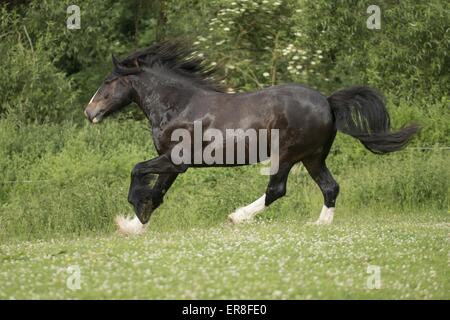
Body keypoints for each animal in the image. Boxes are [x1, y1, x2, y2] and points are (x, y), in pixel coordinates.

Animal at [83, 41, 418, 235]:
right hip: (312, 157)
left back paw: (238, 217)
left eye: (108, 82)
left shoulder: (176, 161)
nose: (89, 112)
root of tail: (327, 101)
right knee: (330, 187)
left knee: (277, 189)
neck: (179, 105)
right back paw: (319, 224)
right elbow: (157, 194)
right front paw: (133, 225)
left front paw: (133, 213)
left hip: (286, 155)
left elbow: (138, 171)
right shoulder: (173, 164)